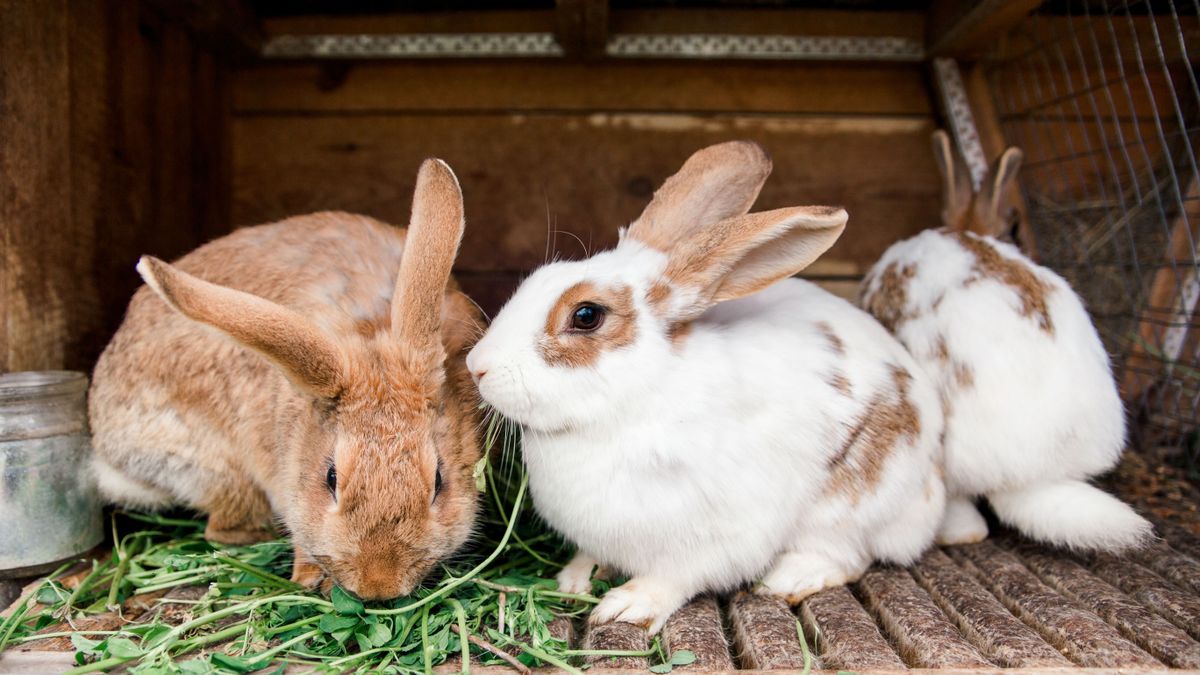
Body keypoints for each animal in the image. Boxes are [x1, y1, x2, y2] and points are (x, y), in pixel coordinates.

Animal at [468, 140, 945, 629]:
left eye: (586, 315)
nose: (476, 366)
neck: (632, 403)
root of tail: (933, 490)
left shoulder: (714, 539)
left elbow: (674, 578)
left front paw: (628, 606)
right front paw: (575, 579)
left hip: (850, 505)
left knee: (848, 555)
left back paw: (787, 579)